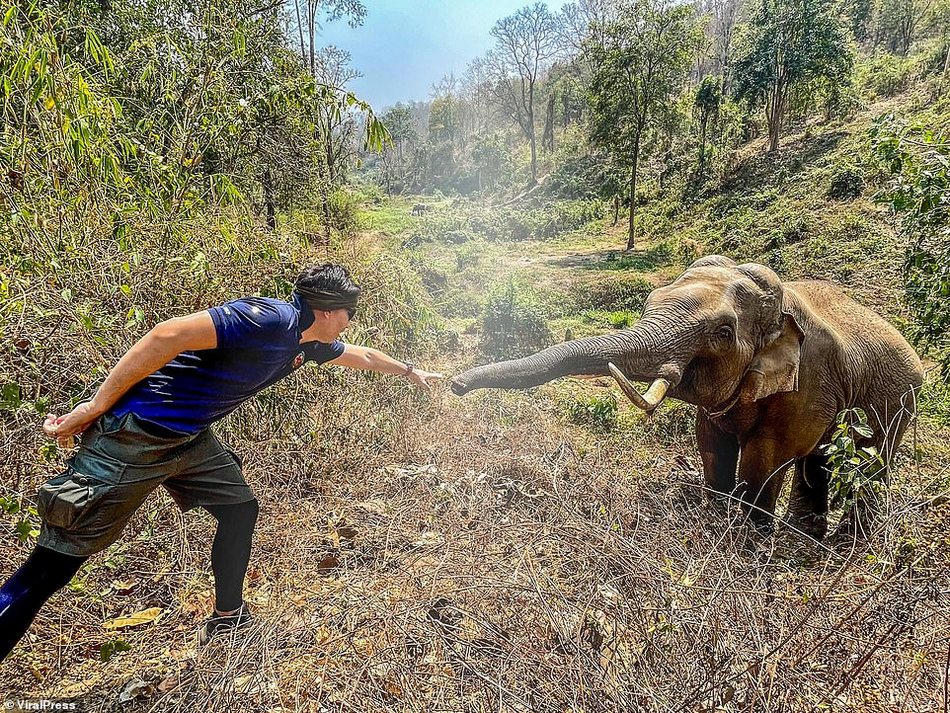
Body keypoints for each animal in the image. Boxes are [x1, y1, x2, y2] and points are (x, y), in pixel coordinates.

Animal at [450, 253, 924, 536]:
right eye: (650, 302)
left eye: (723, 332)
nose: (455, 384)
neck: (781, 306)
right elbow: (711, 444)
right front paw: (717, 519)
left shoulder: (807, 383)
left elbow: (765, 458)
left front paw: (749, 543)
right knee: (820, 461)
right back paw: (808, 534)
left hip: (900, 399)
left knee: (872, 462)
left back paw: (846, 539)